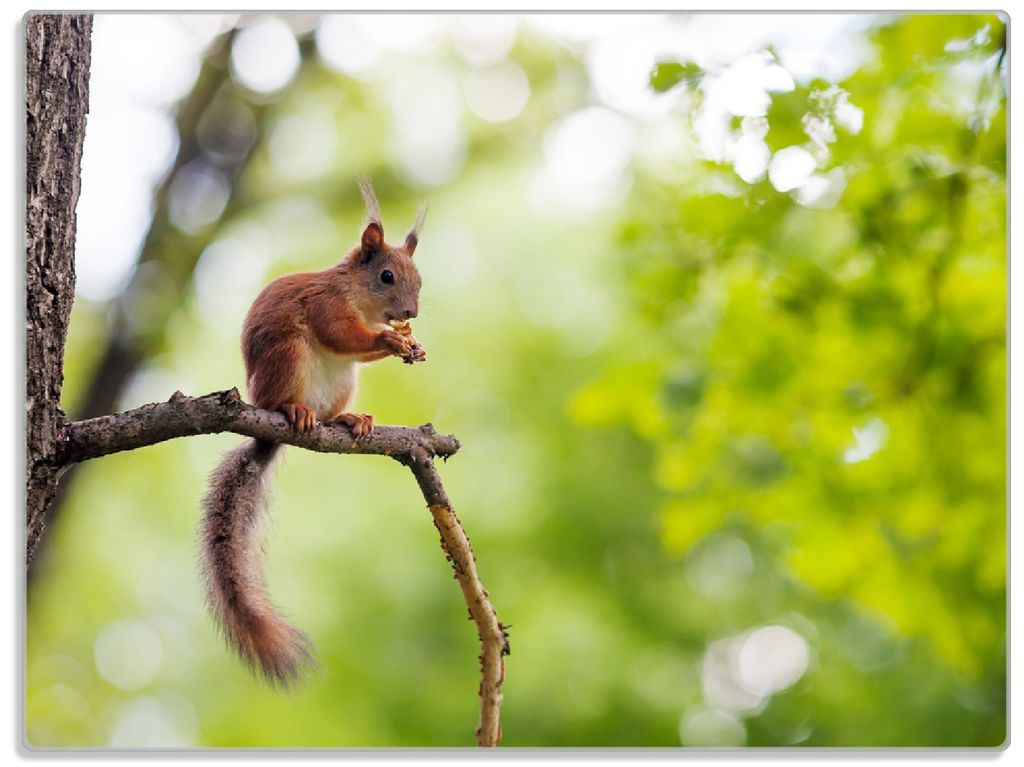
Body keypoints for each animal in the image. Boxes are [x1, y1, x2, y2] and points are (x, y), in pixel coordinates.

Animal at [200, 179, 427, 686]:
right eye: (386, 275)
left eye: (419, 279)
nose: (411, 312)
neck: (357, 296)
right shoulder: (325, 306)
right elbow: (341, 333)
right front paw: (389, 339)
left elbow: (359, 349)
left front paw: (408, 343)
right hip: (288, 356)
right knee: (284, 396)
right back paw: (294, 410)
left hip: (343, 382)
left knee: (332, 410)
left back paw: (348, 420)